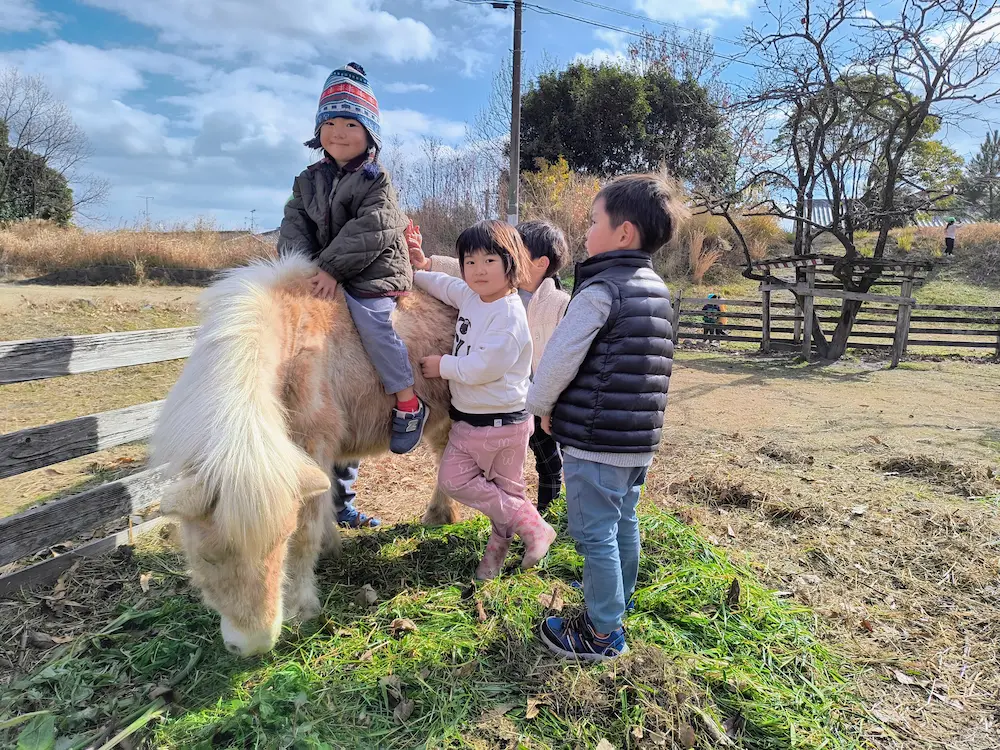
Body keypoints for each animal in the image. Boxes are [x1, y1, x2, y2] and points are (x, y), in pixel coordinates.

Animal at [151, 255, 458, 656]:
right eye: (205, 556)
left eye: (280, 542)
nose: (253, 644)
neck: (292, 347)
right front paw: (330, 547)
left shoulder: (314, 446)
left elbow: (305, 533)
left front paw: (301, 607)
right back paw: (438, 515)